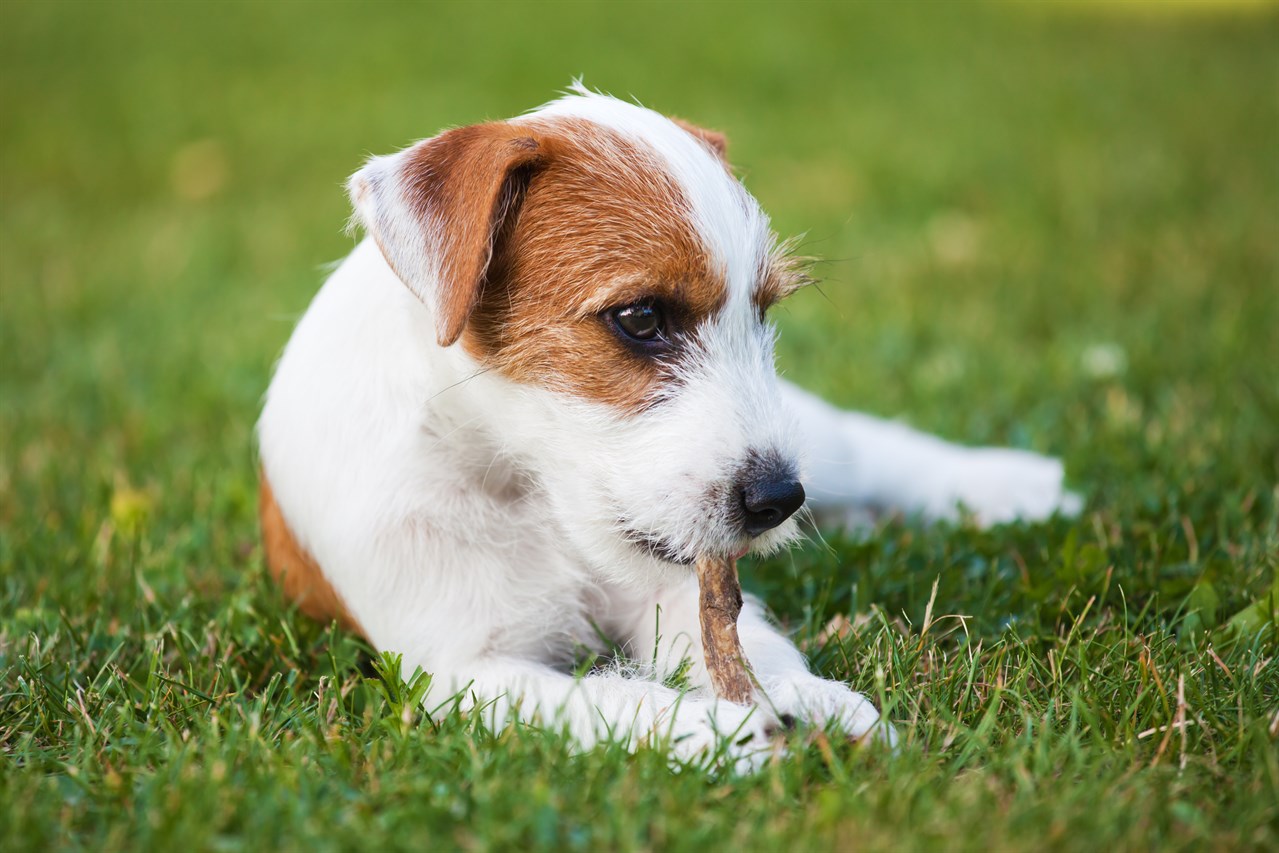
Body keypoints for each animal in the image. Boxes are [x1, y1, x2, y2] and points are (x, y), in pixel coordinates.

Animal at [259, 85, 1079, 767]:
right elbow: (608, 700)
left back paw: (1011, 485)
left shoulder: (675, 590)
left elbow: (753, 644)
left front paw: (810, 697)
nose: (777, 500)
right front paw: (723, 730)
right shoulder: (465, 672)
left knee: (869, 446)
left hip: (820, 442)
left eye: (762, 311)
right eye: (640, 318)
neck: (530, 496)